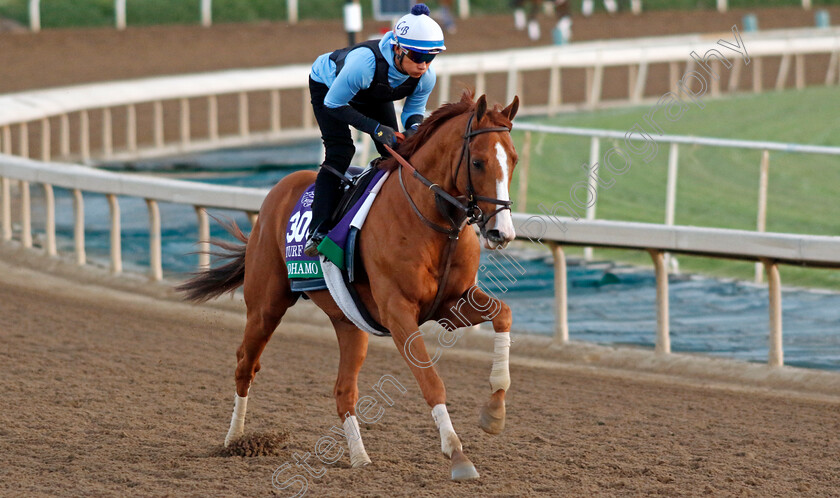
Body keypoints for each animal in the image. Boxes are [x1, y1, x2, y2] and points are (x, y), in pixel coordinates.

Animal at [178, 91, 520, 480]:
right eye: (477, 162)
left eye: (513, 160)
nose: (502, 232)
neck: (432, 221)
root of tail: (278, 190)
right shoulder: (398, 313)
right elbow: (431, 380)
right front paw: (457, 454)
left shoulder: (452, 304)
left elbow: (504, 315)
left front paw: (494, 411)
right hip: (266, 306)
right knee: (245, 365)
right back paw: (235, 440)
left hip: (349, 322)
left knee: (344, 391)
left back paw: (359, 457)